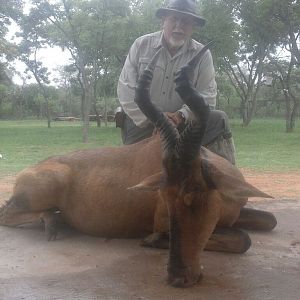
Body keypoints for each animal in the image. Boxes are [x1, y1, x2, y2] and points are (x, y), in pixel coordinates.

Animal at [0, 45, 276, 288]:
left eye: (196, 194)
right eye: (164, 197)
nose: (178, 278)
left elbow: (268, 221)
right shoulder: (162, 221)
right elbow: (242, 238)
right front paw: (152, 240)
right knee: (7, 213)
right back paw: (51, 223)